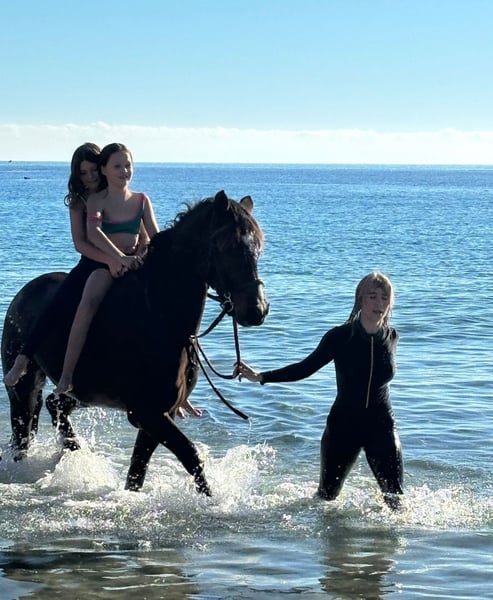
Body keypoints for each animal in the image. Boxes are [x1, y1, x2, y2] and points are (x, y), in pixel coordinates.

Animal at [1, 190, 269, 495]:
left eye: (258, 248)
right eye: (226, 246)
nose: (257, 310)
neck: (160, 315)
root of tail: (23, 294)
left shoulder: (159, 414)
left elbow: (137, 474)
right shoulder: (149, 413)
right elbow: (191, 456)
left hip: (81, 393)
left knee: (54, 405)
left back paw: (72, 449)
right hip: (23, 387)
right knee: (22, 435)